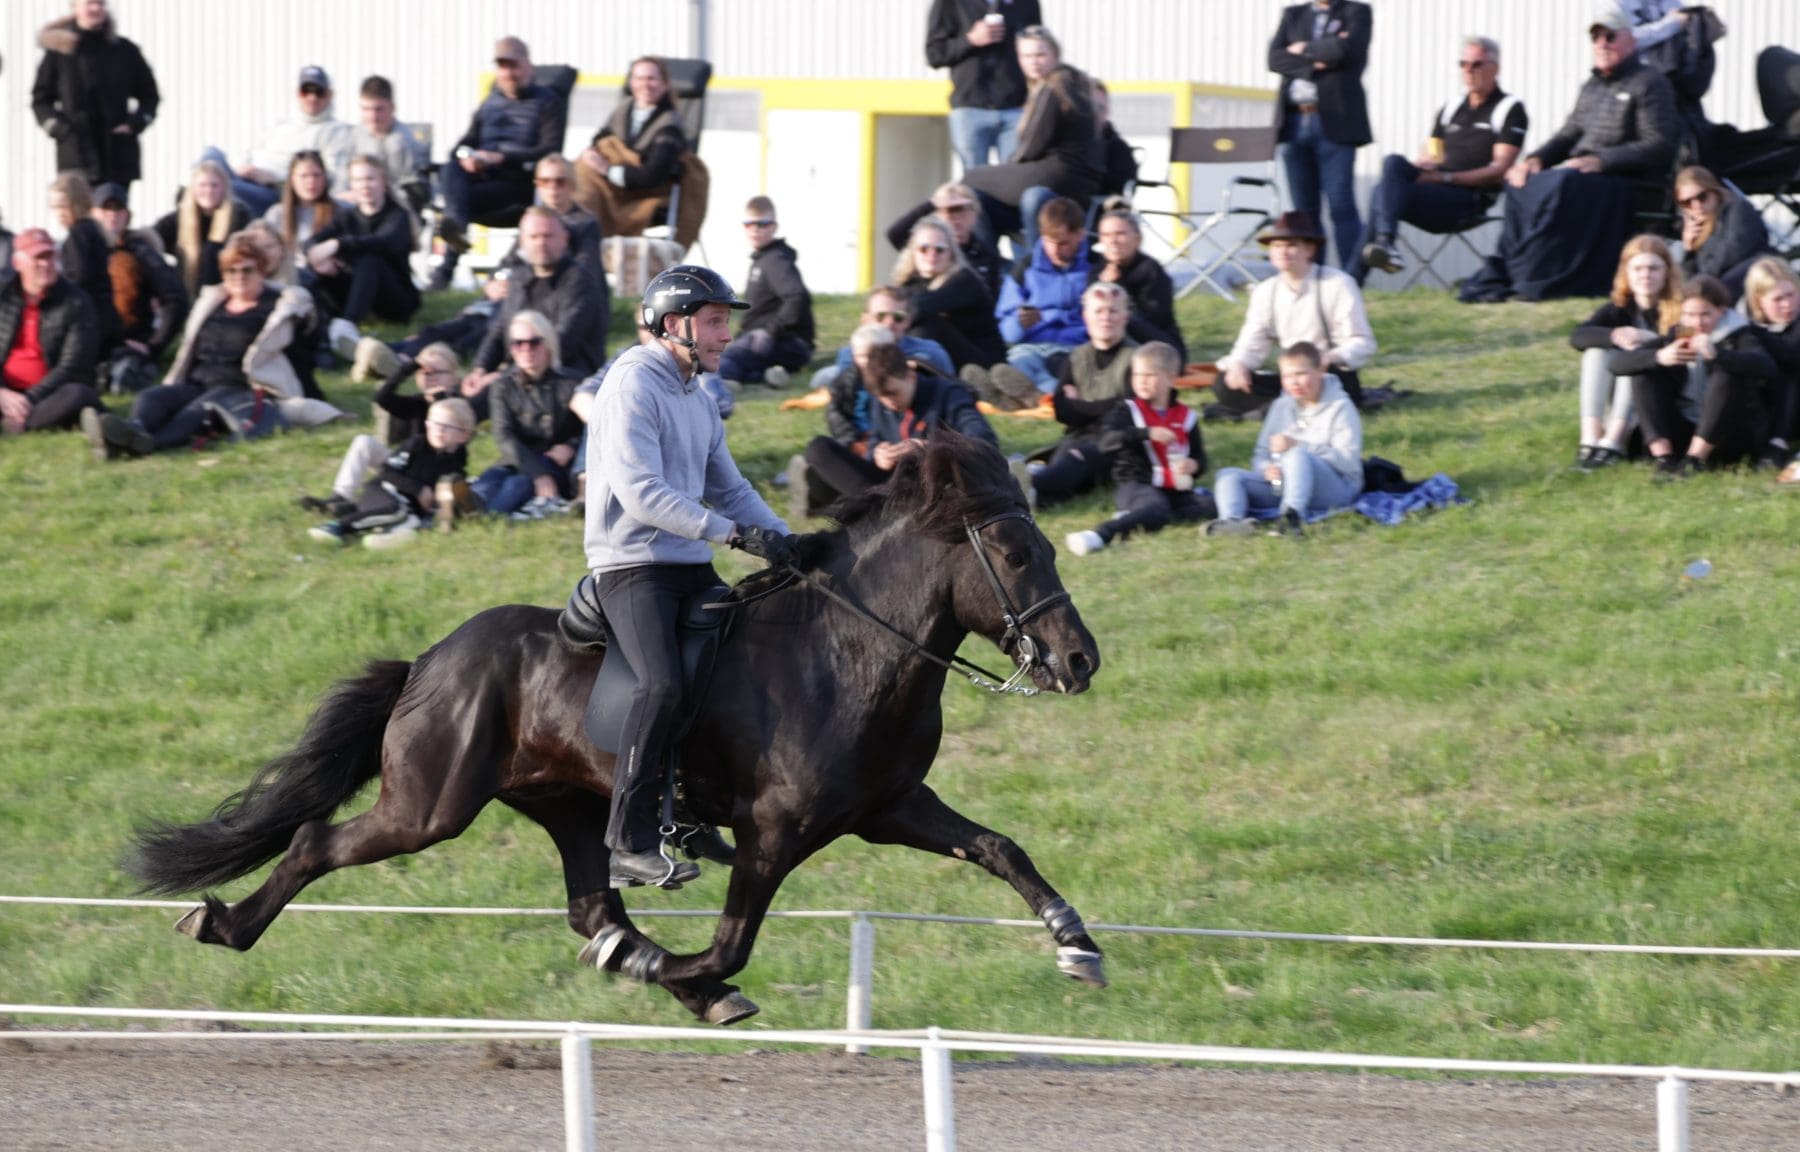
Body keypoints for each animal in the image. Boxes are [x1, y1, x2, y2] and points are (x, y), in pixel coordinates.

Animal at [126, 433, 1101, 1022]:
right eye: (1014, 553)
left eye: (1045, 546)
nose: (1080, 660)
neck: (850, 649)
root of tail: (431, 659)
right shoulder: (774, 832)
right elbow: (731, 939)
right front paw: (669, 973)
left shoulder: (890, 808)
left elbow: (1001, 848)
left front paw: (1077, 945)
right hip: (429, 805)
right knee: (316, 843)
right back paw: (221, 925)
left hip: (568, 804)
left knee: (591, 904)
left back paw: (639, 957)